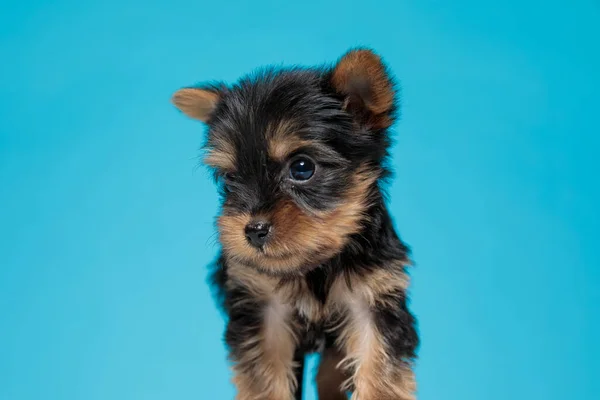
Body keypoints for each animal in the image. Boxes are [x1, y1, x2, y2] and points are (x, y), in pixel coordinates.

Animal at [171, 48, 420, 398]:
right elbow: (265, 379)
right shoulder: (264, 309)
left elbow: (379, 366)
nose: (253, 230)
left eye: (302, 168)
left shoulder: (373, 297)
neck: (316, 266)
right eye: (231, 179)